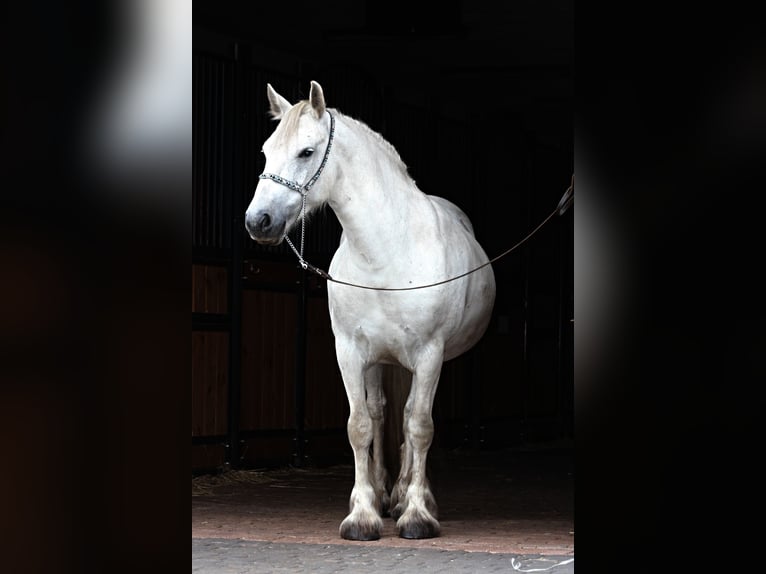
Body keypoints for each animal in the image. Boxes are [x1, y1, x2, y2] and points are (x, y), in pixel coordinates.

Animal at [246, 82, 498, 544]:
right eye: (266, 151)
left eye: (306, 152)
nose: (260, 221)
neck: (386, 253)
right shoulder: (349, 352)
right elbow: (361, 424)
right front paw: (362, 516)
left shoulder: (429, 355)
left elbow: (420, 425)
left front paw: (417, 515)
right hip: (383, 360)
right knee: (383, 413)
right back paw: (385, 495)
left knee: (412, 418)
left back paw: (411, 497)